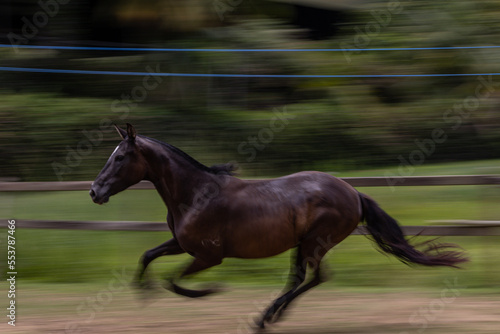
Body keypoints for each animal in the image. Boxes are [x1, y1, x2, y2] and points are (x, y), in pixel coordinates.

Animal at [90, 123, 468, 328]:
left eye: (120, 157)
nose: (95, 191)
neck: (195, 194)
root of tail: (354, 192)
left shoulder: (209, 256)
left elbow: (174, 281)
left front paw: (211, 291)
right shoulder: (182, 244)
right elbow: (147, 255)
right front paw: (143, 293)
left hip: (314, 241)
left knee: (308, 277)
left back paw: (264, 318)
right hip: (308, 243)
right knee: (310, 277)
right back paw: (270, 317)